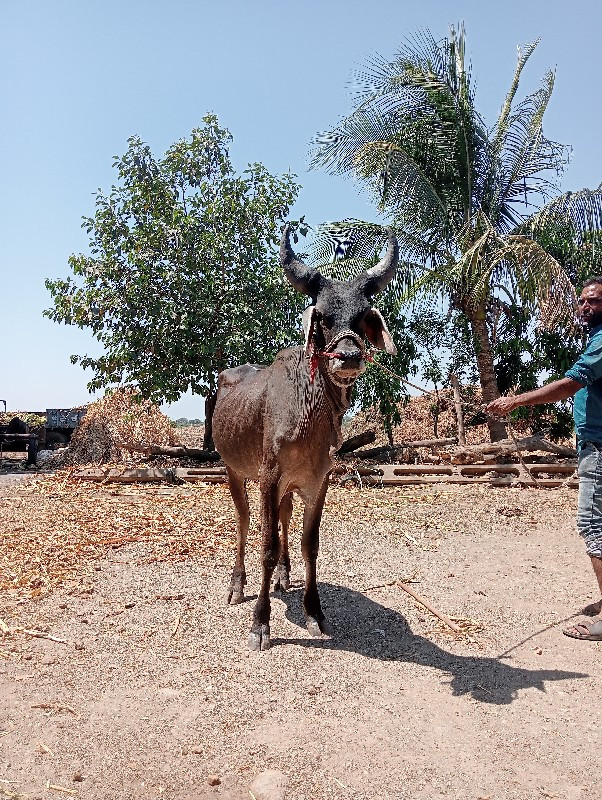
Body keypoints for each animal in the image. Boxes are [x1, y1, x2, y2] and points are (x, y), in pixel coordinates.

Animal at [212, 225, 398, 648]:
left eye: (362, 317)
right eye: (324, 318)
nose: (349, 357)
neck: (309, 411)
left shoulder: (317, 481)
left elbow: (309, 545)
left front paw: (314, 612)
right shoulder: (267, 479)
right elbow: (264, 545)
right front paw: (260, 623)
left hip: (284, 487)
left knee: (283, 519)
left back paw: (283, 576)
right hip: (234, 472)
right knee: (244, 521)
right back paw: (237, 584)